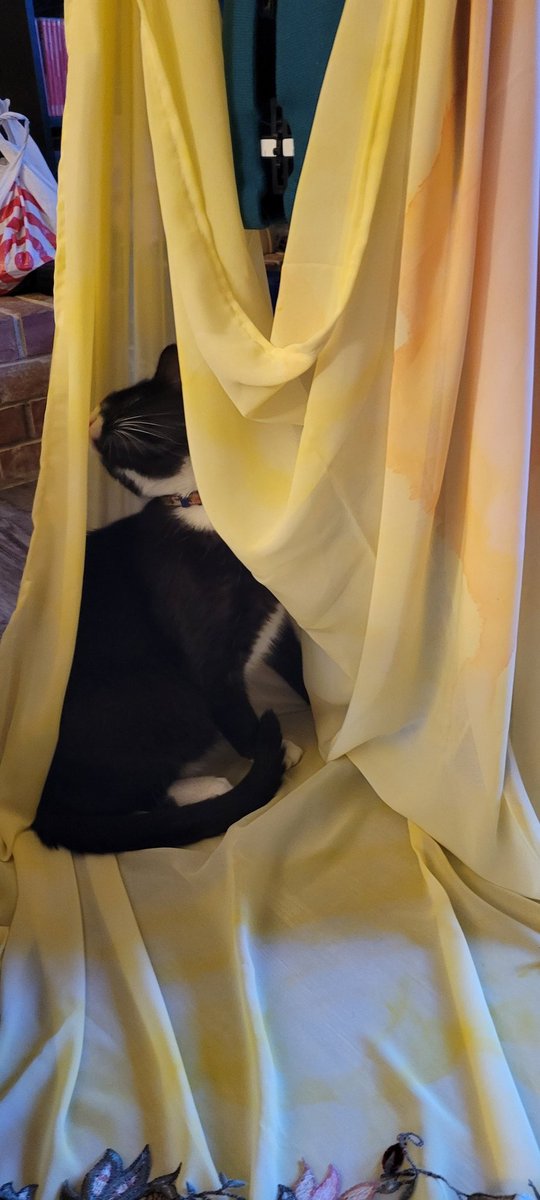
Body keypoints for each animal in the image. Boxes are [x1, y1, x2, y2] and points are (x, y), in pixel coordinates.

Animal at [32, 345, 306, 855]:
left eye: (126, 401)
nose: (90, 417)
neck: (200, 509)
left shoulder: (273, 619)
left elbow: (296, 666)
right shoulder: (209, 660)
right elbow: (235, 715)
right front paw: (276, 750)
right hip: (164, 696)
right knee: (124, 800)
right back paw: (207, 787)